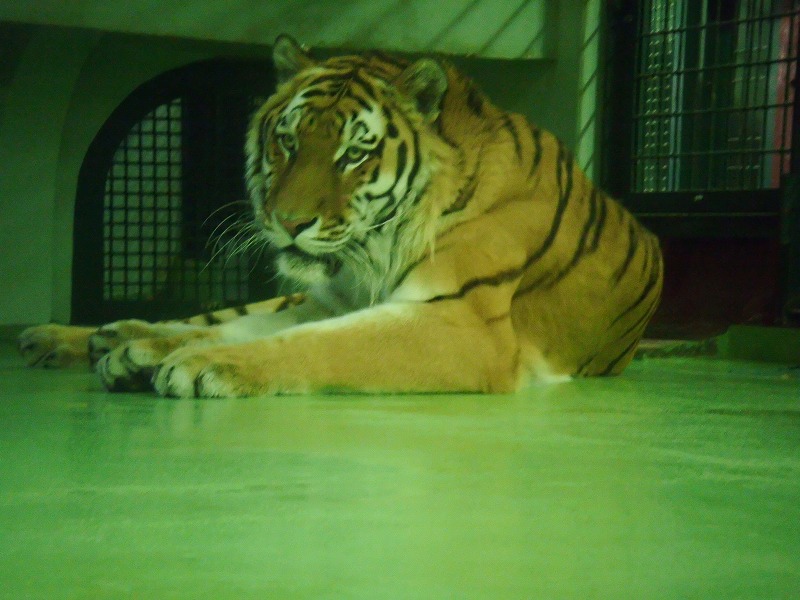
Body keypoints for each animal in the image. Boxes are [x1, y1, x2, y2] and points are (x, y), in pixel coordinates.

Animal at [18, 34, 663, 397]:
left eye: (353, 154)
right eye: (287, 142)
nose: (288, 221)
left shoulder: (463, 324)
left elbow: (317, 344)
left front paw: (204, 365)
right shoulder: (330, 301)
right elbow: (258, 328)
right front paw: (151, 353)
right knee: (203, 315)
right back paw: (80, 338)